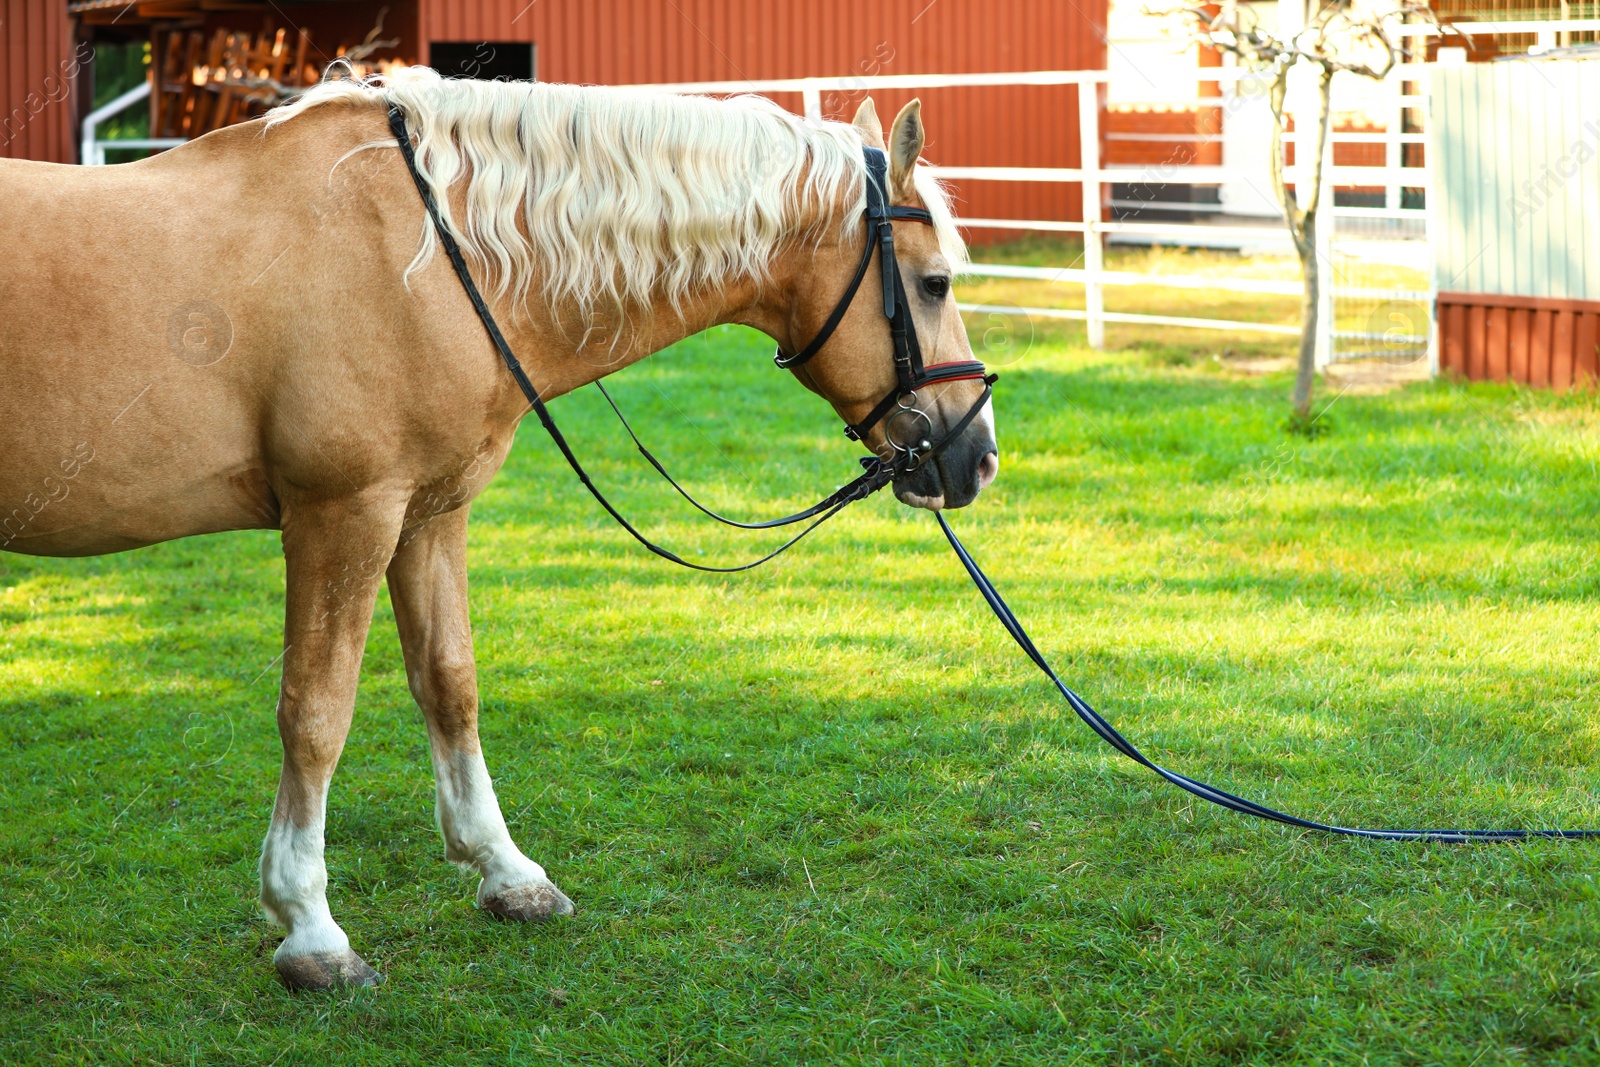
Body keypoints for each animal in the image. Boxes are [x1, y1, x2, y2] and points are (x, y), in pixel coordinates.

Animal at [0, 70, 992, 991]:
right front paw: (311, 928)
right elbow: (316, 713)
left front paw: (505, 871)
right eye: (934, 283)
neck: (424, 250)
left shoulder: (429, 514)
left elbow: (450, 685)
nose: (975, 456)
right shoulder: (343, 514)